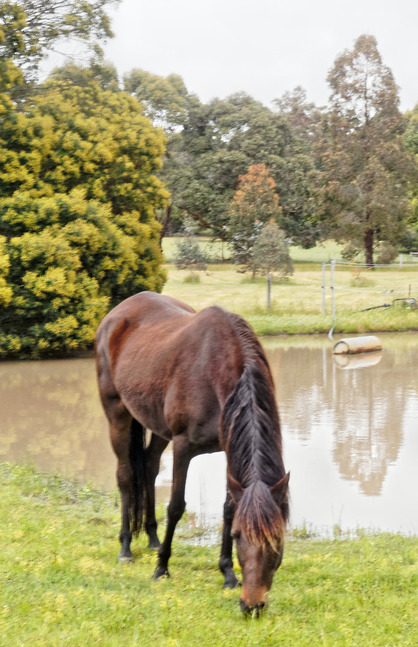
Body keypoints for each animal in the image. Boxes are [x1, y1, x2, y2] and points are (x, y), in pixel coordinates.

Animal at [95, 291, 289, 616]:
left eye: (277, 539)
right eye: (239, 536)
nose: (252, 605)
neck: (215, 370)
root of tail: (115, 314)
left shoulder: (228, 449)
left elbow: (228, 508)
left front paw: (227, 573)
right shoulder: (183, 446)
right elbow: (176, 506)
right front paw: (161, 568)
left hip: (158, 428)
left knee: (148, 466)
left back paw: (152, 538)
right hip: (117, 415)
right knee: (125, 476)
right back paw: (126, 548)